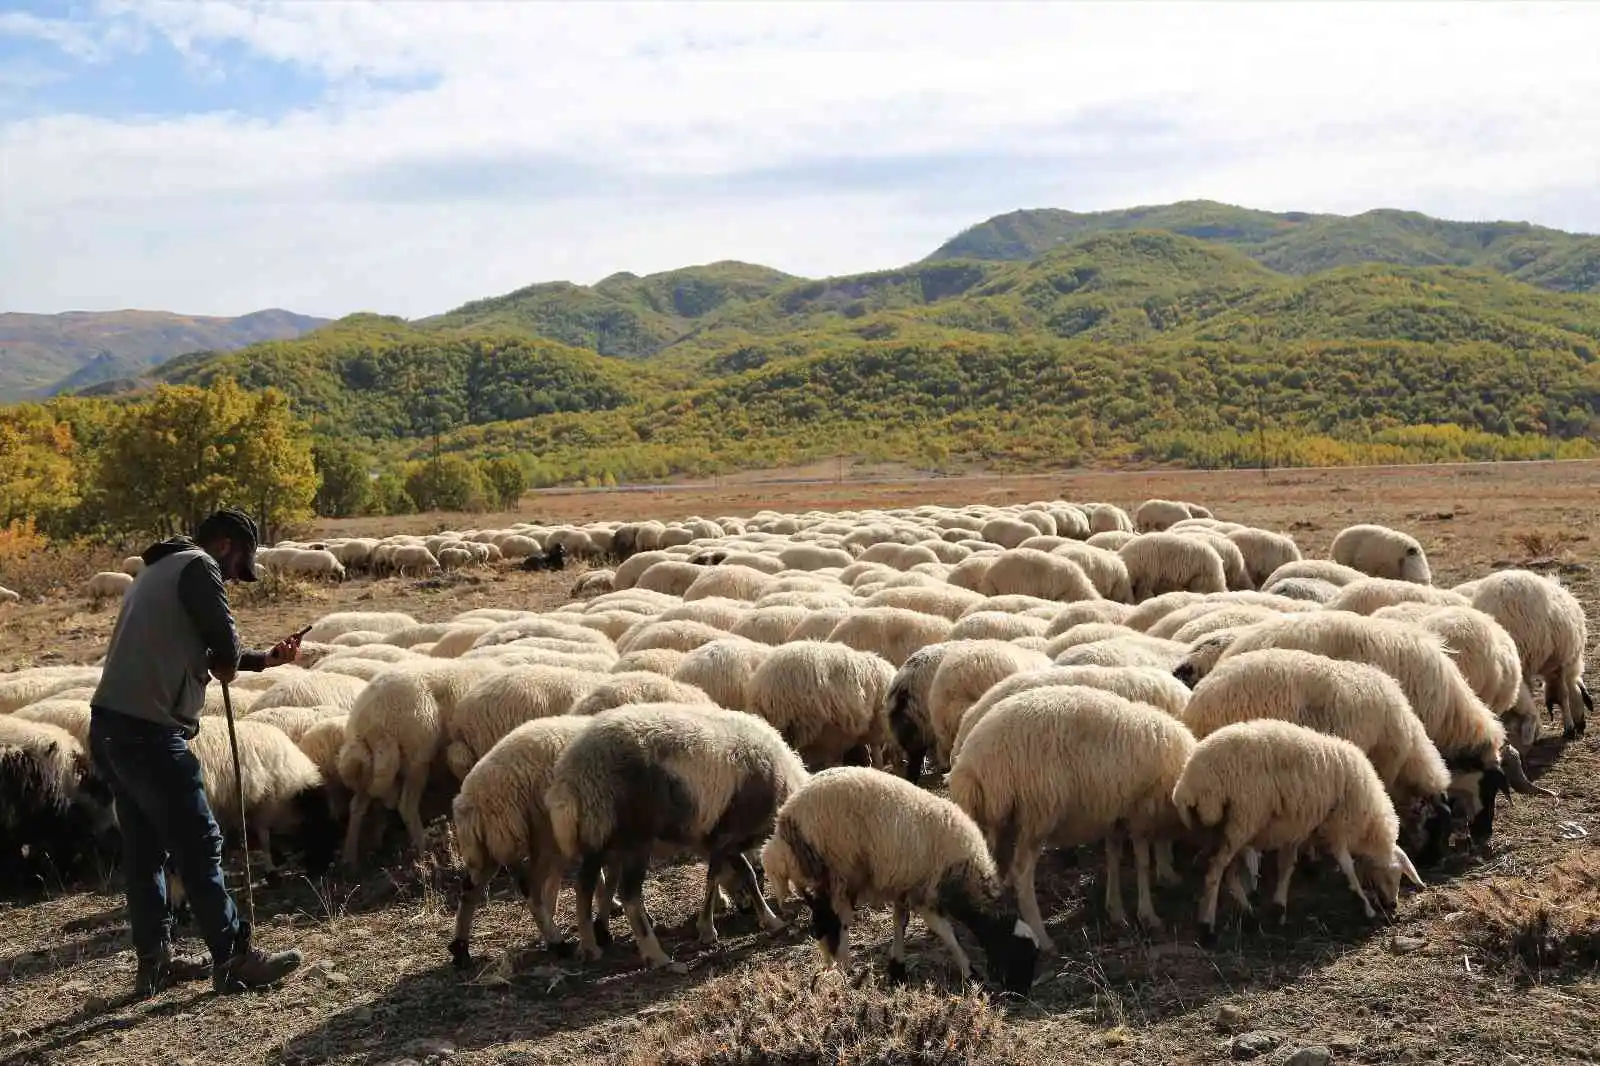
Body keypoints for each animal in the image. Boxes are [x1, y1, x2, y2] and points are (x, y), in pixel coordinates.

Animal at [451, 710, 595, 966]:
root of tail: (470, 799)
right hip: (534, 835)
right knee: (531, 888)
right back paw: (557, 942)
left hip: (489, 846)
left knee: (469, 889)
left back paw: (460, 950)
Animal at [544, 701, 806, 966]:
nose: (746, 910)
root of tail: (573, 772)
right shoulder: (726, 834)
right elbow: (717, 877)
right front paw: (707, 929)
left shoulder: (720, 840)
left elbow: (745, 873)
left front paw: (770, 919)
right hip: (634, 839)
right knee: (628, 895)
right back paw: (656, 955)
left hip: (596, 834)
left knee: (583, 888)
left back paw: (590, 947)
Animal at [758, 765, 1036, 985]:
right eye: (1017, 952)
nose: (1021, 992)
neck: (964, 875)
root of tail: (786, 817)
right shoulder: (925, 892)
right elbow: (946, 933)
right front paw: (969, 971)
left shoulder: (905, 887)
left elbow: (900, 923)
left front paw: (897, 966)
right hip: (838, 870)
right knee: (836, 920)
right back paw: (845, 967)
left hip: (821, 877)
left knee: (822, 921)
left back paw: (830, 965)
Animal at [940, 681, 1196, 941]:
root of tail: (969, 765)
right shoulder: (1140, 813)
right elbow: (1143, 862)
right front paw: (1148, 914)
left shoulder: (1115, 814)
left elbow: (1113, 858)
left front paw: (1116, 910)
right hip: (1036, 813)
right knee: (1021, 875)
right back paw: (1041, 937)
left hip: (996, 824)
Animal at [1164, 717, 1427, 934]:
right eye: (1394, 874)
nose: (1392, 904)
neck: (1368, 824)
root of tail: (1187, 783)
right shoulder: (1337, 830)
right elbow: (1348, 868)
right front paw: (1365, 906)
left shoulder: (1298, 828)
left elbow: (1287, 867)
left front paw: (1279, 907)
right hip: (1242, 821)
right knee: (1215, 872)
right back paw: (1207, 924)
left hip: (1226, 829)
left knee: (1227, 874)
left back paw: (1248, 914)